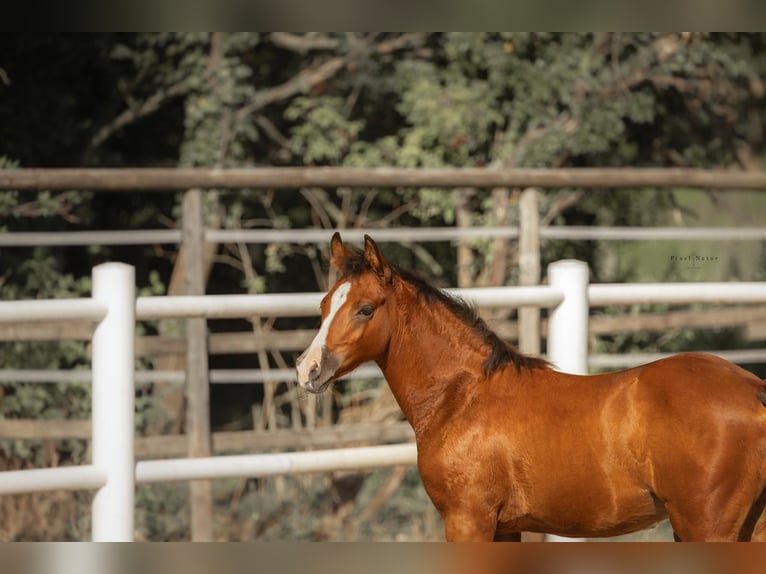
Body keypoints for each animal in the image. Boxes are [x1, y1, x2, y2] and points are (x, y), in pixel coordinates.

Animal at [296, 233, 766, 540]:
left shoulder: (468, 520)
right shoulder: (504, 528)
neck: (462, 397)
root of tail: (754, 390)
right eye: (324, 304)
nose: (308, 370)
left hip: (705, 528)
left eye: (365, 309)